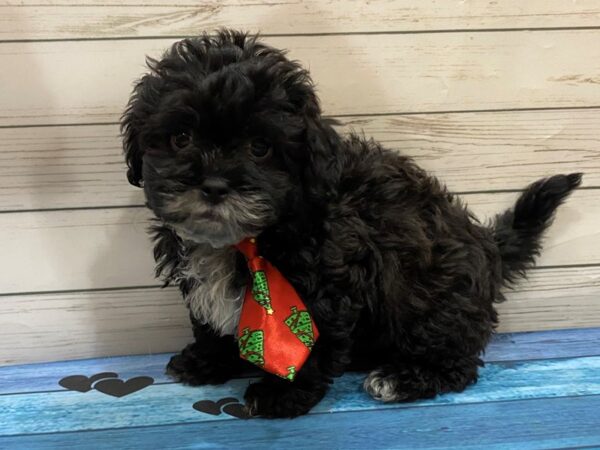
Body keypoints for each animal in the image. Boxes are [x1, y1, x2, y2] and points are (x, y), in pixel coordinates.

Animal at [120, 30, 580, 418]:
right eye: (181, 138)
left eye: (260, 147)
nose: (214, 185)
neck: (249, 240)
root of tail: (486, 242)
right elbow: (210, 323)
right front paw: (206, 360)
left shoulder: (327, 287)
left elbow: (311, 340)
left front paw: (282, 394)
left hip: (434, 303)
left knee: (457, 362)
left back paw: (402, 378)